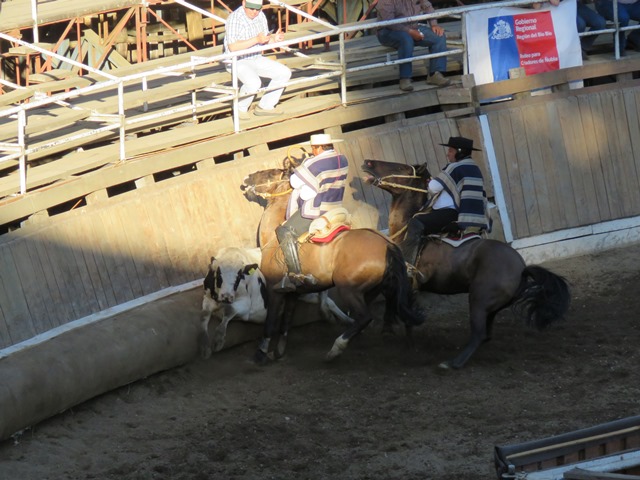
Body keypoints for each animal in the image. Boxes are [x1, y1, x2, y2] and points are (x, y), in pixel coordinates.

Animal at [200, 247, 351, 359]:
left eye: (239, 275)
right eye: (218, 275)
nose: (226, 297)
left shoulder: (246, 305)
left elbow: (229, 311)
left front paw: (218, 340)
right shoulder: (207, 299)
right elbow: (204, 317)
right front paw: (205, 347)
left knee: (325, 295)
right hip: (304, 293)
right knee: (326, 299)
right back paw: (340, 318)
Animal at [241, 161, 424, 364]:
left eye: (270, 173)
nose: (247, 178)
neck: (274, 241)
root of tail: (387, 245)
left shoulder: (274, 291)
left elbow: (271, 322)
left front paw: (261, 352)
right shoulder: (292, 294)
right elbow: (286, 322)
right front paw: (279, 350)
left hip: (349, 290)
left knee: (365, 317)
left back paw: (336, 348)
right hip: (373, 289)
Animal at [361, 159, 571, 369]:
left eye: (401, 168)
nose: (367, 162)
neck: (405, 234)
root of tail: (521, 268)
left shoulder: (409, 284)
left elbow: (403, 309)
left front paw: (407, 344)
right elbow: (391, 299)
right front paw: (390, 332)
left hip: (478, 300)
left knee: (478, 334)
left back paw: (452, 363)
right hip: (490, 307)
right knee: (485, 334)